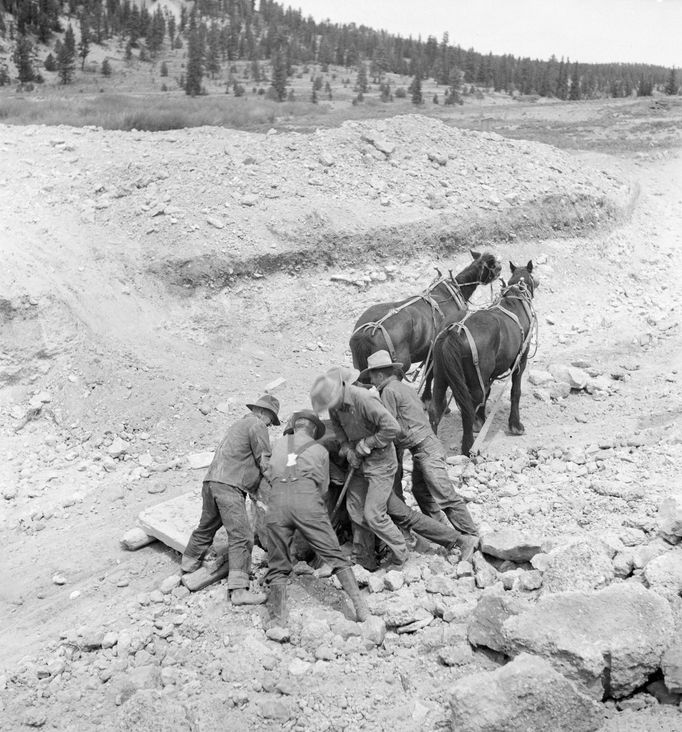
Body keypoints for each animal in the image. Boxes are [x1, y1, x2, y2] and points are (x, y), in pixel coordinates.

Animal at [350, 252, 500, 388]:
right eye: (493, 264)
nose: (501, 268)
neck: (451, 293)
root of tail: (368, 330)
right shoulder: (435, 353)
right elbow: (431, 376)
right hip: (398, 367)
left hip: (360, 366)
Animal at [430, 264, 536, 454]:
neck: (516, 299)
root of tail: (454, 331)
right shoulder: (520, 361)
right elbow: (515, 392)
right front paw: (515, 425)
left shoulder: (487, 376)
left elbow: (487, 393)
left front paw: (480, 421)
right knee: (467, 411)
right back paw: (469, 448)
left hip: (440, 376)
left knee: (435, 409)